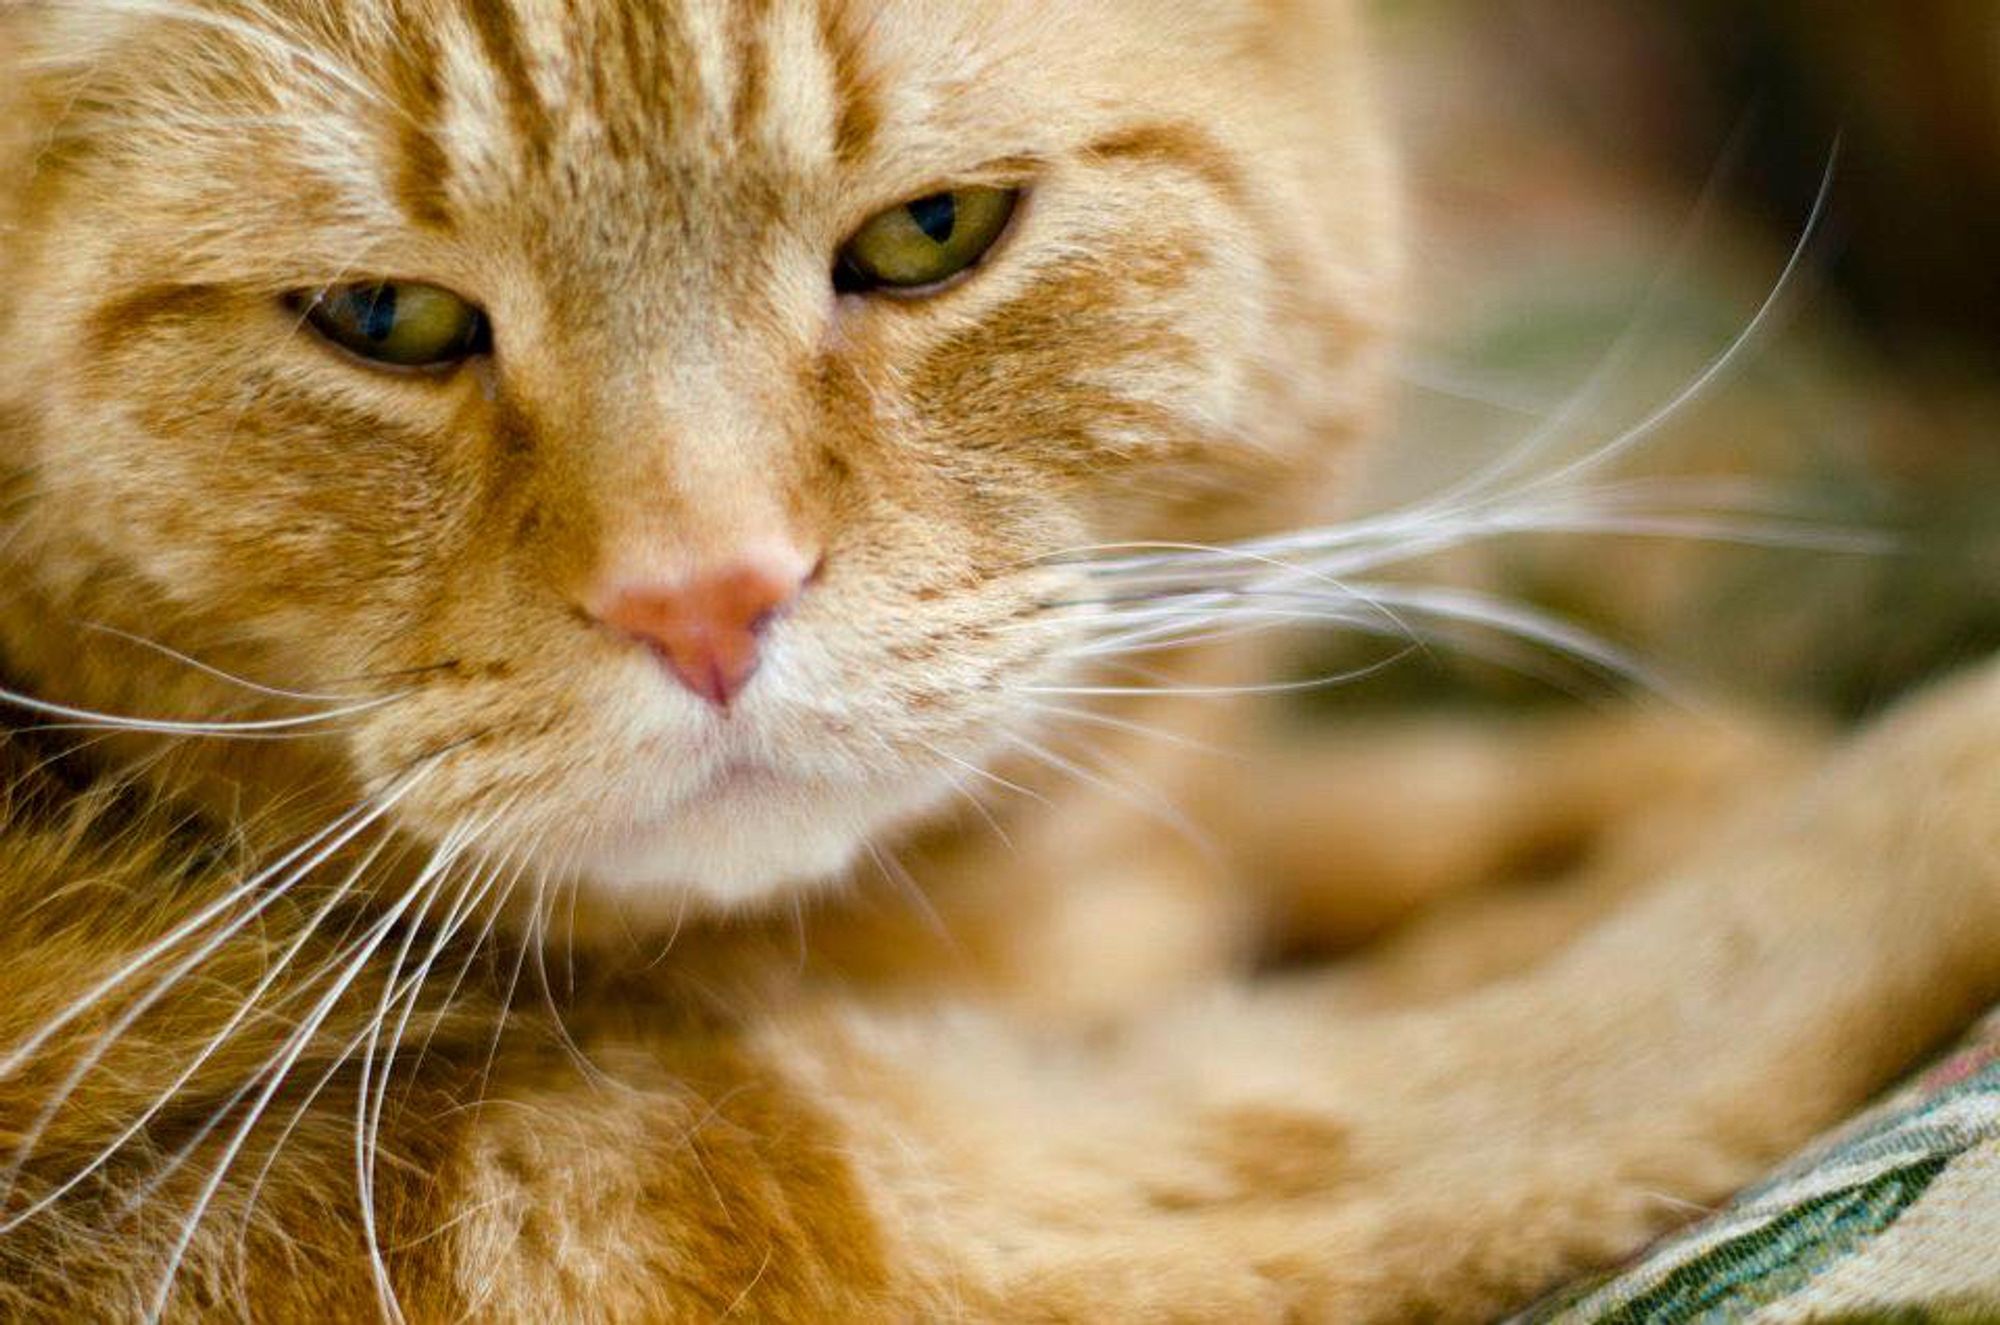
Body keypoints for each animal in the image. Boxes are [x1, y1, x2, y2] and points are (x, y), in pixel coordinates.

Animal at [3, 0, 2000, 1320]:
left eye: (929, 233)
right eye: (386, 317)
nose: (704, 600)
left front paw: (1611, 789)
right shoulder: (641, 1214)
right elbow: (1488, 1073)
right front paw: (1890, 778)